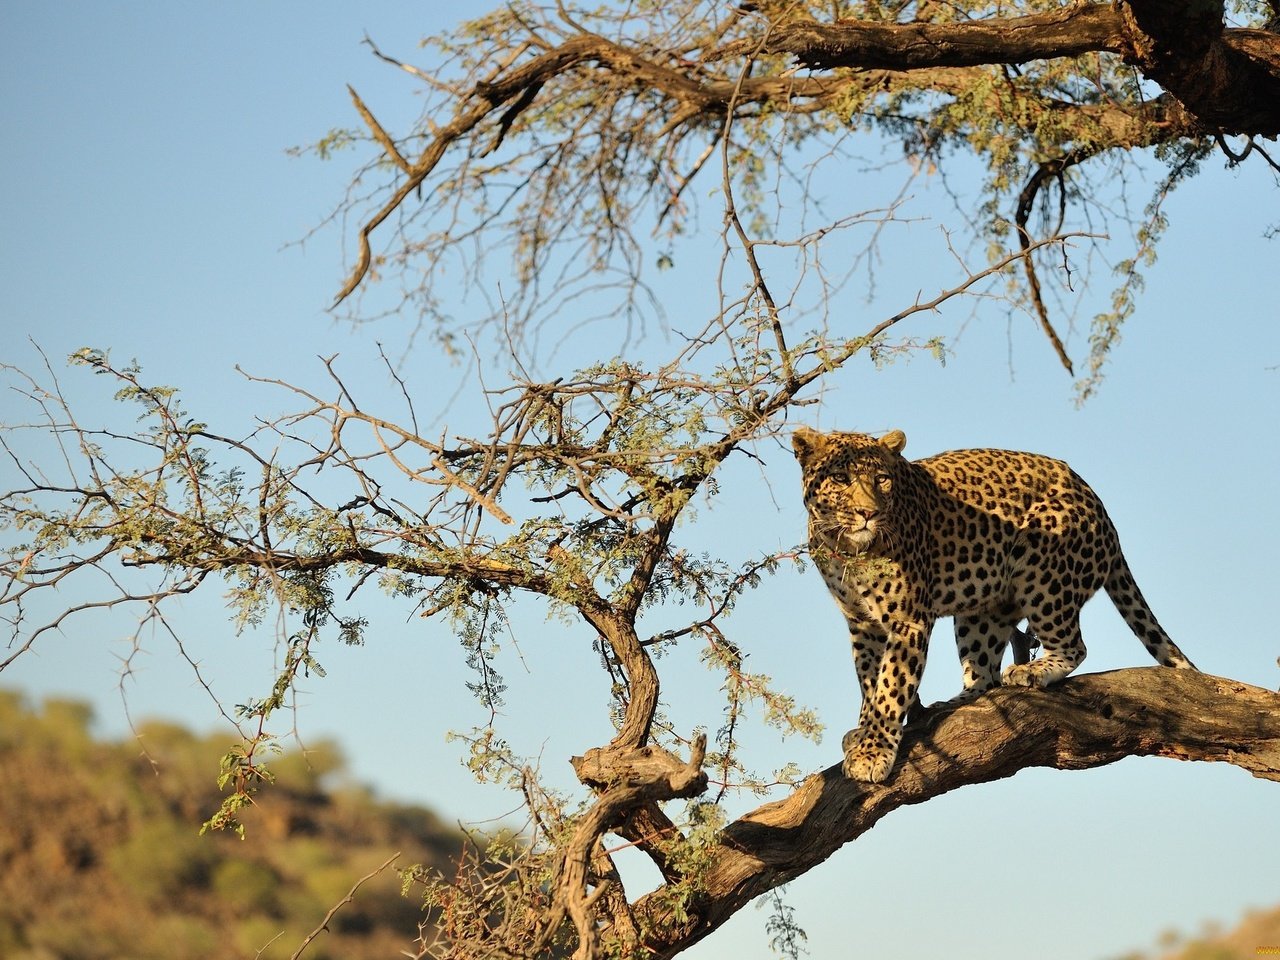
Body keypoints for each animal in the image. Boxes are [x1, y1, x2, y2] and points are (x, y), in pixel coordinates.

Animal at [788, 430, 1198, 788]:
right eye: (840, 478)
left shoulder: (908, 620)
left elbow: (890, 685)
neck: (847, 549)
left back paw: (1032, 671)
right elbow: (869, 680)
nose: (867, 513)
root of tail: (1101, 508)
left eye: (882, 480)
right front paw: (863, 733)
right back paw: (948, 705)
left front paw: (872, 753)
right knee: (984, 675)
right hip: (982, 608)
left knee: (1073, 645)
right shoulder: (862, 623)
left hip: (1044, 570)